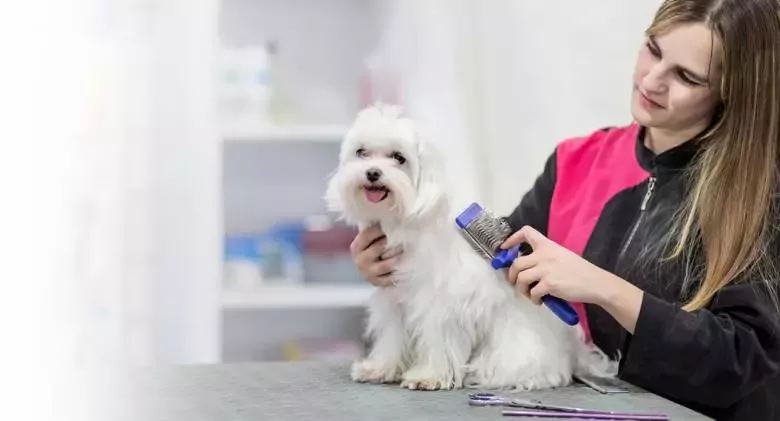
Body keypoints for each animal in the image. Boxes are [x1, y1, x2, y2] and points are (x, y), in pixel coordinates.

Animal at [322, 102, 616, 390]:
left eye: (398, 157)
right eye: (361, 152)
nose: (372, 172)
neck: (406, 223)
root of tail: (572, 351)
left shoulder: (440, 306)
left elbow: (438, 341)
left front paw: (428, 376)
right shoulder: (394, 300)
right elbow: (392, 337)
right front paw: (380, 368)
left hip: (514, 347)